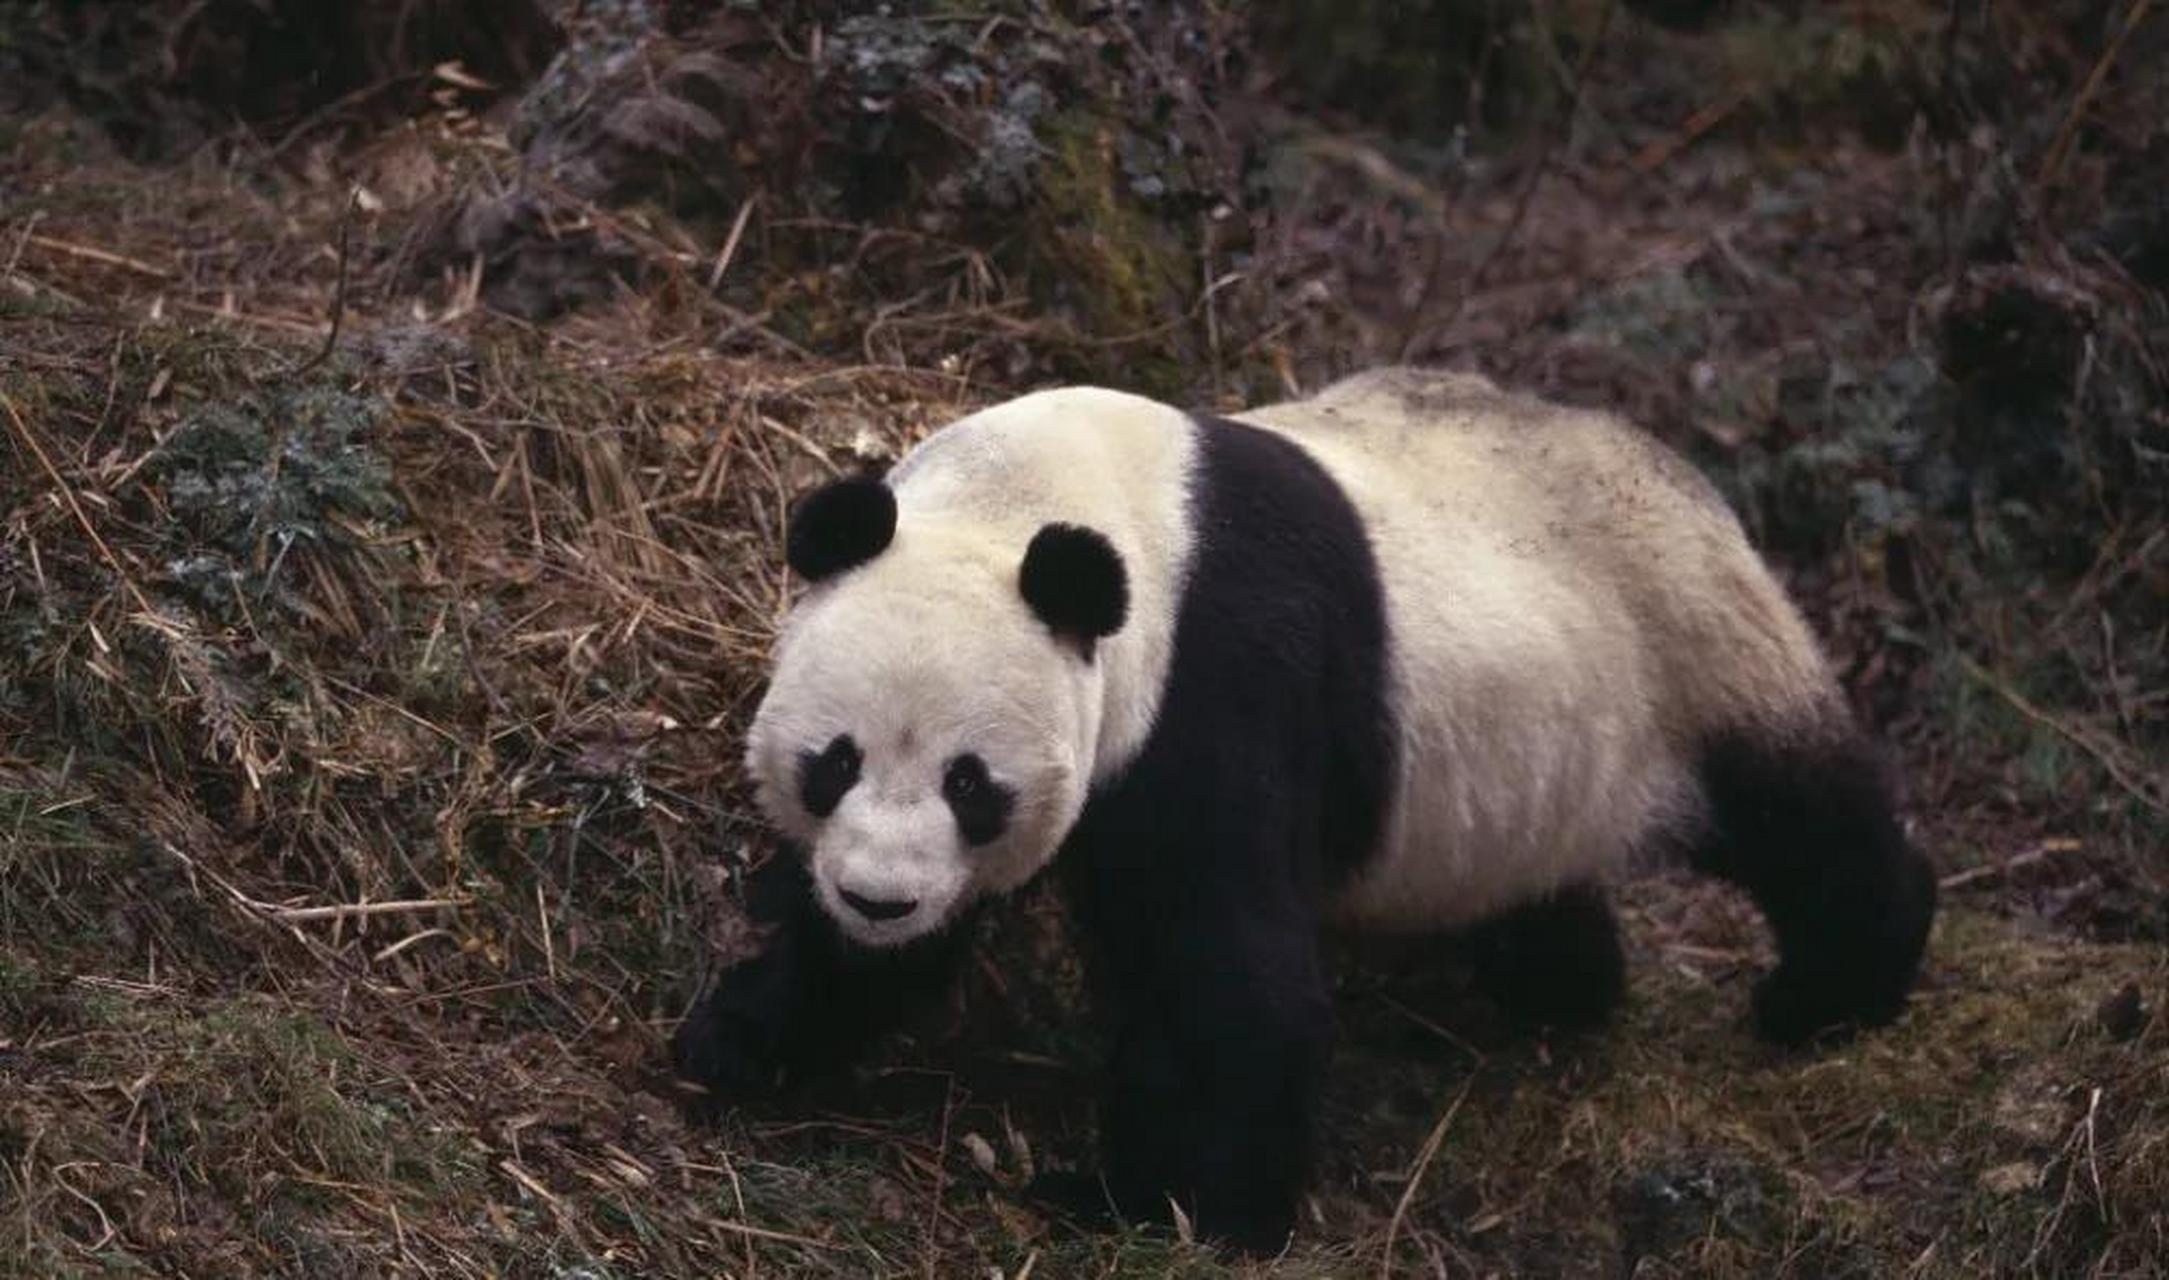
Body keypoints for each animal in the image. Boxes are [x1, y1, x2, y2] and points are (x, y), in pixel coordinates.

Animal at [668, 366, 1943, 1258]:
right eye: (834, 762)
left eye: (971, 782)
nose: (879, 897)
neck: (1052, 502)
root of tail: (1687, 475)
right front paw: (745, 1034)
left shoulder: (1215, 680)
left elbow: (1230, 971)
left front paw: (1168, 1205)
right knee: (1541, 873)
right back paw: (1559, 983)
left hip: (1686, 643)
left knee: (1801, 814)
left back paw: (1832, 988)